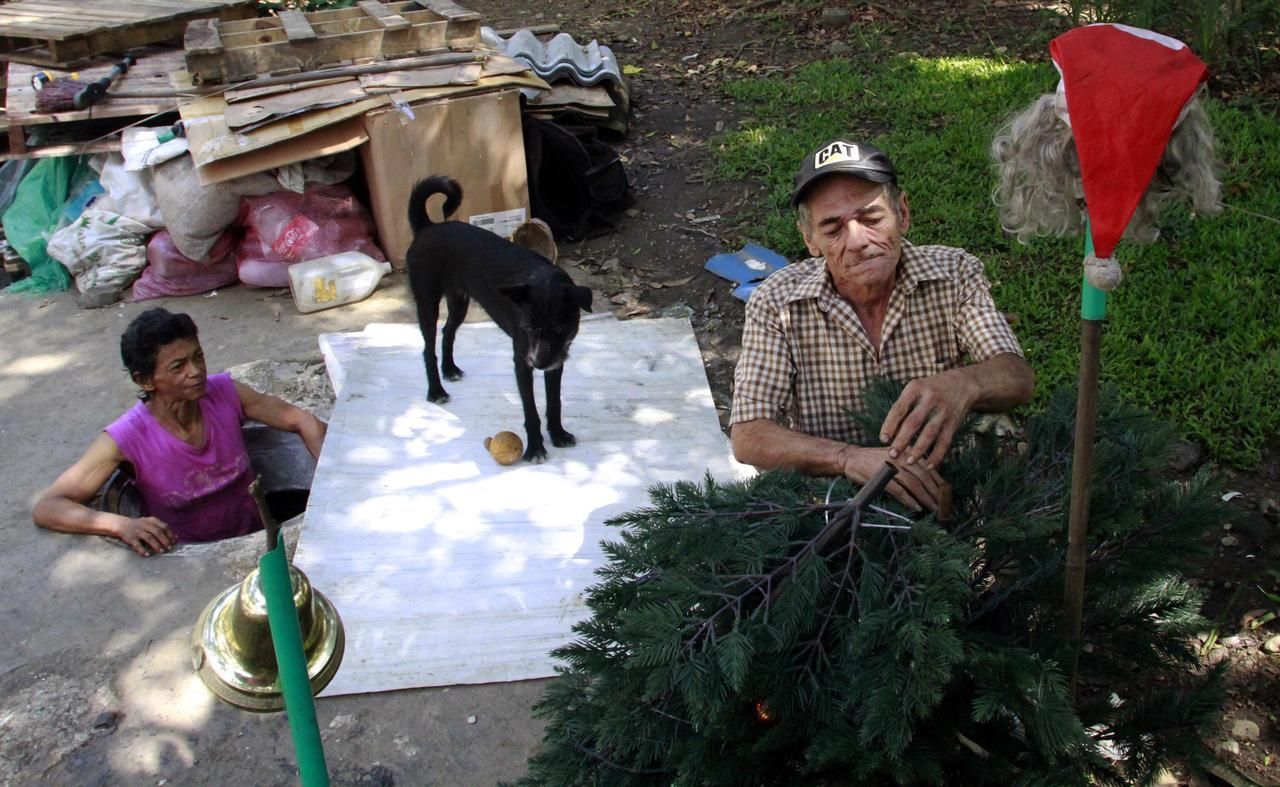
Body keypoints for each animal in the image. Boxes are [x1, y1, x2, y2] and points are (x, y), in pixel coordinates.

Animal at [404, 175, 593, 465]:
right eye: (528, 329)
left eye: (560, 330)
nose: (538, 363)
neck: (544, 279)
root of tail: (428, 228)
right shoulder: (522, 362)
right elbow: (531, 410)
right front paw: (535, 448)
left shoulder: (556, 361)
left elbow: (554, 403)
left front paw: (558, 434)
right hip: (427, 301)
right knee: (428, 348)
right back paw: (436, 391)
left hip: (459, 300)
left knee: (448, 332)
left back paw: (450, 369)